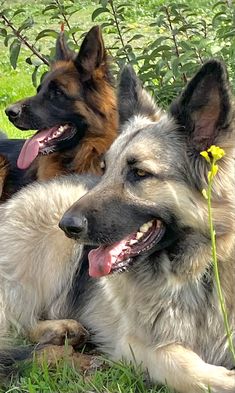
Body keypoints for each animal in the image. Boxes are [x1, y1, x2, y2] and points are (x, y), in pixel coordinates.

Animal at [0, 60, 235, 392]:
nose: (66, 226)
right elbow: (185, 366)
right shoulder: (138, 345)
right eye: (104, 168)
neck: (199, 272)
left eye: (139, 173)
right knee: (17, 321)